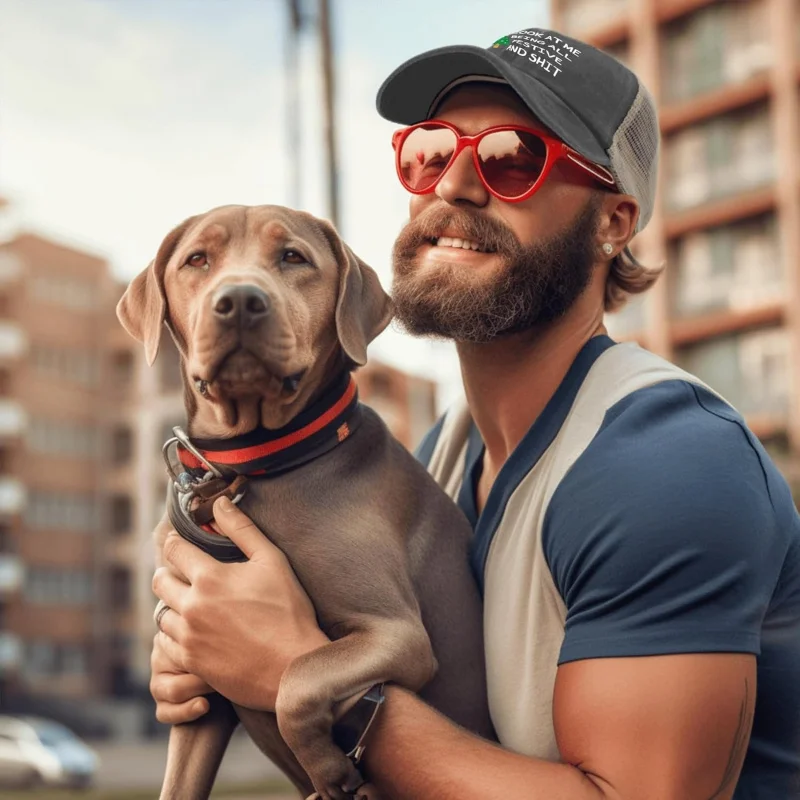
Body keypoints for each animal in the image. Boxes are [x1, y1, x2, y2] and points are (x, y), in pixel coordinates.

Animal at [117, 206, 494, 800]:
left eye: (293, 257)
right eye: (197, 259)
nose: (239, 301)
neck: (254, 466)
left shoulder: (397, 635)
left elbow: (297, 680)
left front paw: (328, 768)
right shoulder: (199, 692)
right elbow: (178, 783)